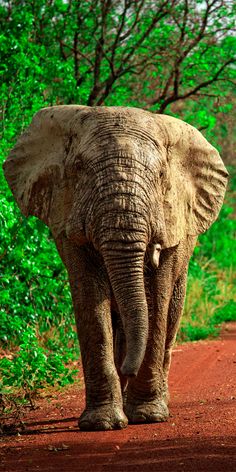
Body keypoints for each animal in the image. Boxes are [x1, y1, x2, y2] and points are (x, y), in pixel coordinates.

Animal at [3, 105, 229, 430]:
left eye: (161, 175)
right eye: (80, 167)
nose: (128, 369)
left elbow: (156, 300)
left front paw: (147, 417)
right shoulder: (65, 214)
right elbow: (91, 301)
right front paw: (102, 423)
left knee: (170, 314)